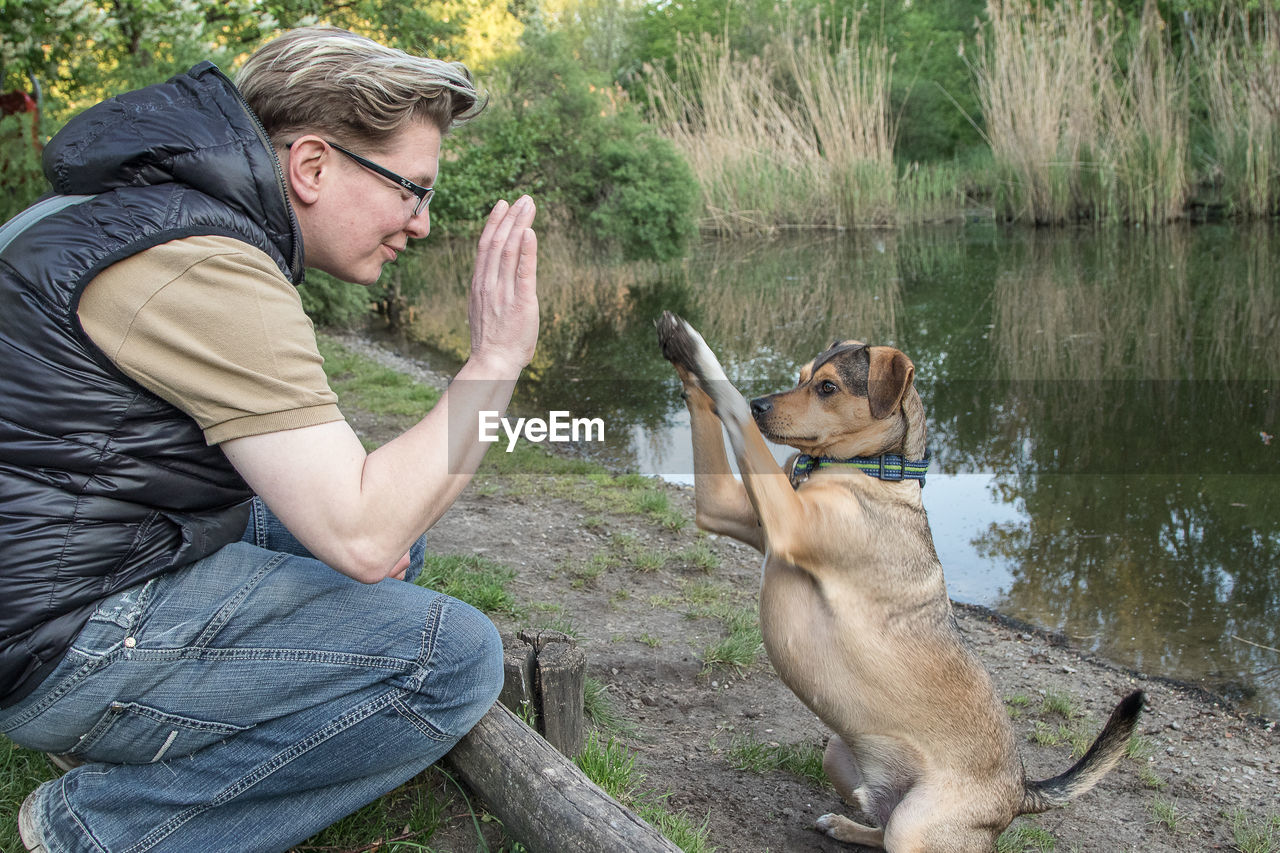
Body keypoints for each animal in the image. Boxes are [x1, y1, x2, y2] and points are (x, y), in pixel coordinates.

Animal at [655, 312, 1146, 850]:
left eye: (827, 387)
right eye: (802, 376)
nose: (760, 405)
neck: (866, 468)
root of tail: (1020, 791)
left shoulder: (788, 521)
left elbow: (731, 411)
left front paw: (700, 353)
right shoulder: (723, 508)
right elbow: (709, 414)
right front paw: (679, 348)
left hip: (916, 823)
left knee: (900, 835)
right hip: (837, 752)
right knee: (878, 823)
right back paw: (844, 823)